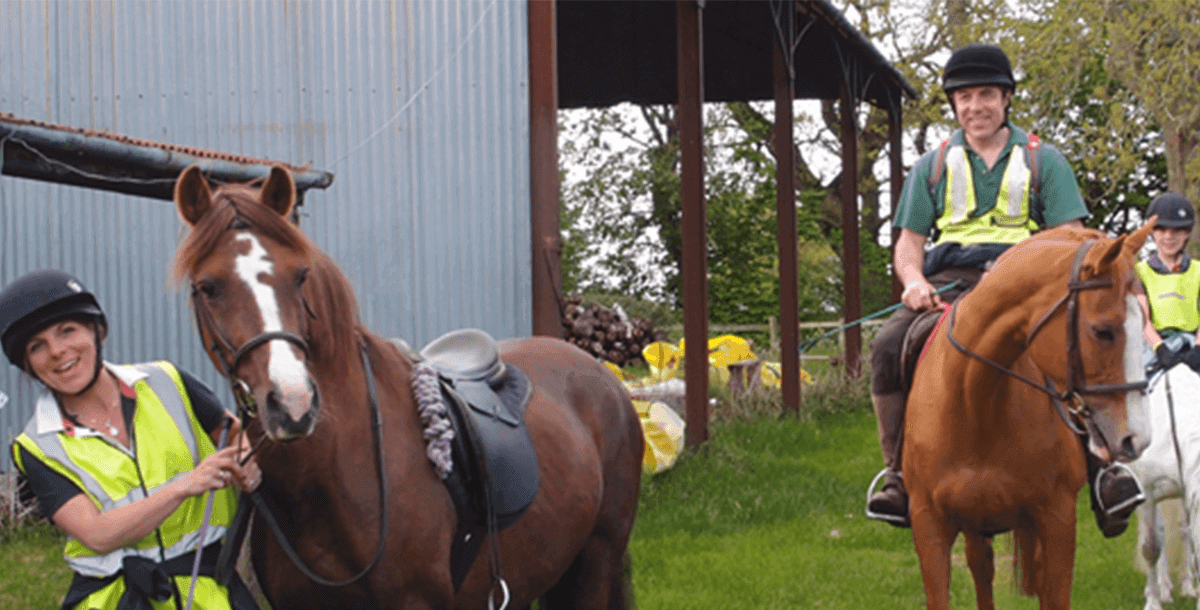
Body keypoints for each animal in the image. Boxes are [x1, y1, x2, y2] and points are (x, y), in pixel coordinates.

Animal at [170, 164, 648, 607]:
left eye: (301, 276)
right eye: (208, 287)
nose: (293, 404)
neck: (336, 472)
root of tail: (605, 378)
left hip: (595, 561)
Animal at [907, 225, 1152, 610]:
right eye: (1103, 331)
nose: (1137, 438)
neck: (976, 405)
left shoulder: (1056, 520)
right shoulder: (929, 523)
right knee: (981, 568)